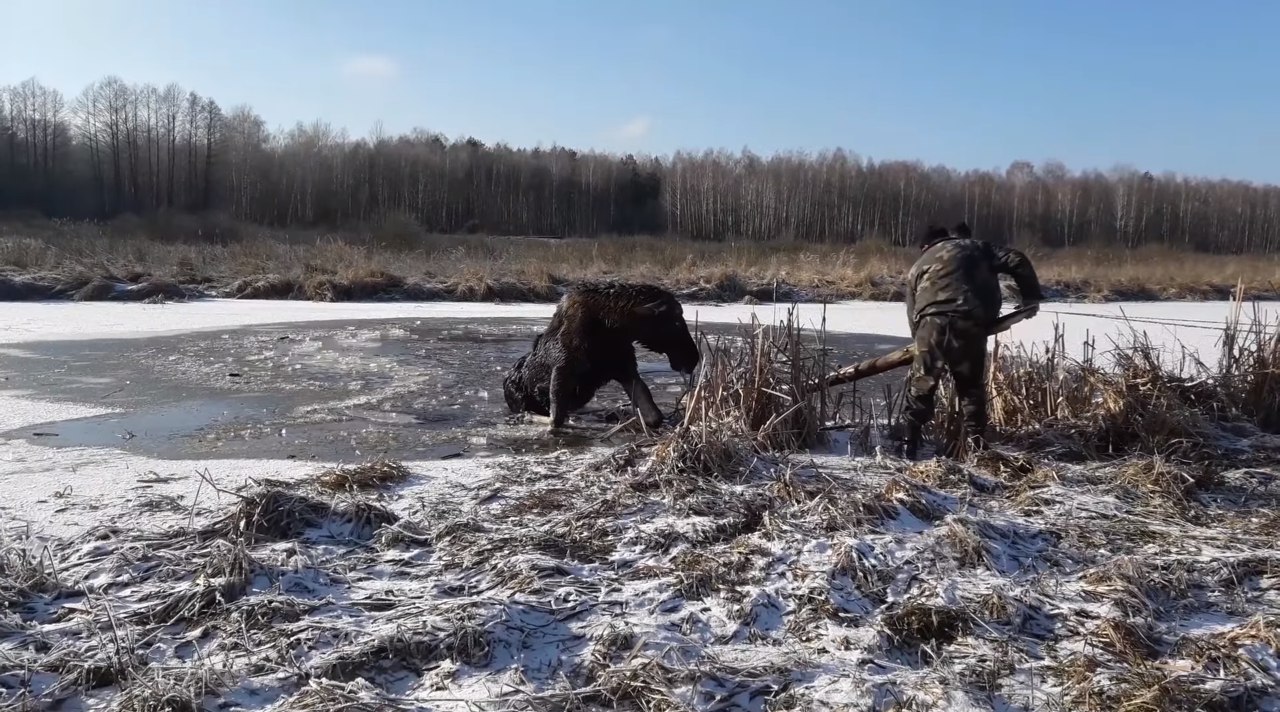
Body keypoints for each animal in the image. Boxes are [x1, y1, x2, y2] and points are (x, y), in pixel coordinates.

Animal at [499, 281, 701, 427]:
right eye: (676, 322)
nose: (693, 358)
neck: (611, 327)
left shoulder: (625, 369)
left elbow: (654, 415)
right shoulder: (562, 369)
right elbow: (554, 420)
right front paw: (528, 417)